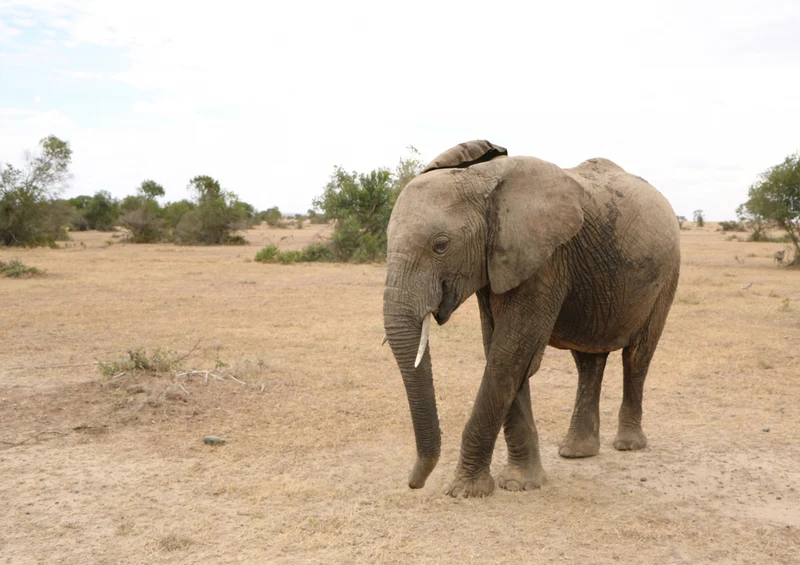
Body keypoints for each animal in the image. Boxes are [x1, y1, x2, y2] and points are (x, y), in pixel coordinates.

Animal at [382, 140, 680, 497]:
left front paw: (466, 490)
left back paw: (627, 445)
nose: (414, 483)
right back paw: (576, 452)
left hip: (667, 274)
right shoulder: (498, 261)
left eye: (440, 245)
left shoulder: (546, 261)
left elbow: (509, 353)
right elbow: (502, 352)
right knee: (588, 362)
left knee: (637, 356)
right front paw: (520, 483)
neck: (484, 179)